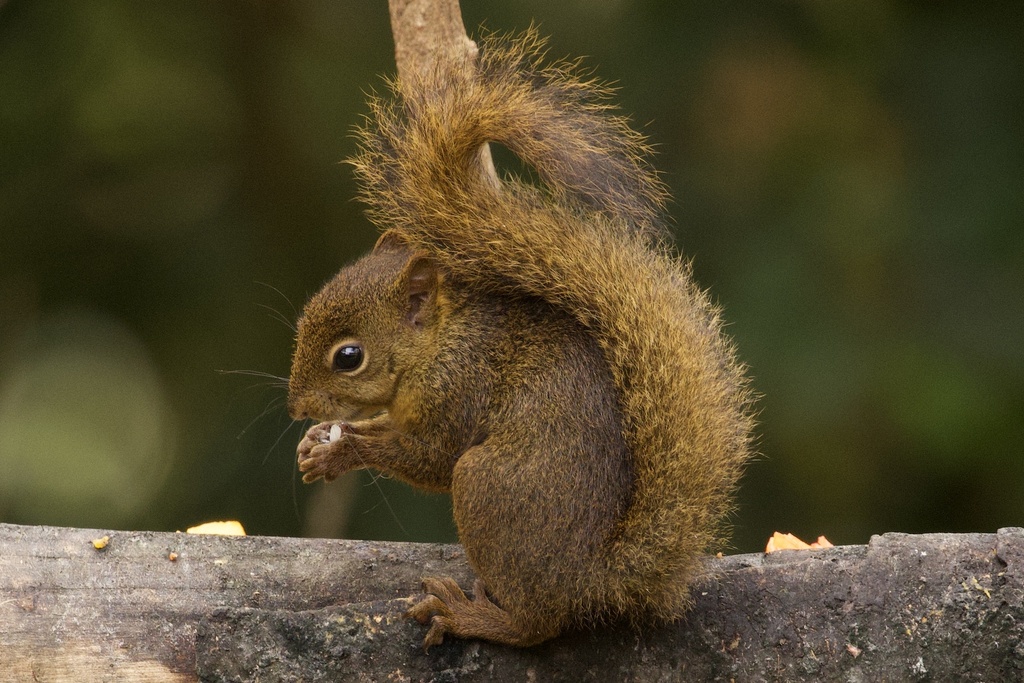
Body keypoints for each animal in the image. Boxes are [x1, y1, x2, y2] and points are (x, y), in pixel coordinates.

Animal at [287, 32, 754, 649]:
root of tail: (597, 582)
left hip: (489, 488)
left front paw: (342, 449)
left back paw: (470, 615)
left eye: (349, 357)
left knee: (536, 624)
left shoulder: (461, 388)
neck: (440, 344)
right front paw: (316, 443)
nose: (296, 406)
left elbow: (432, 458)